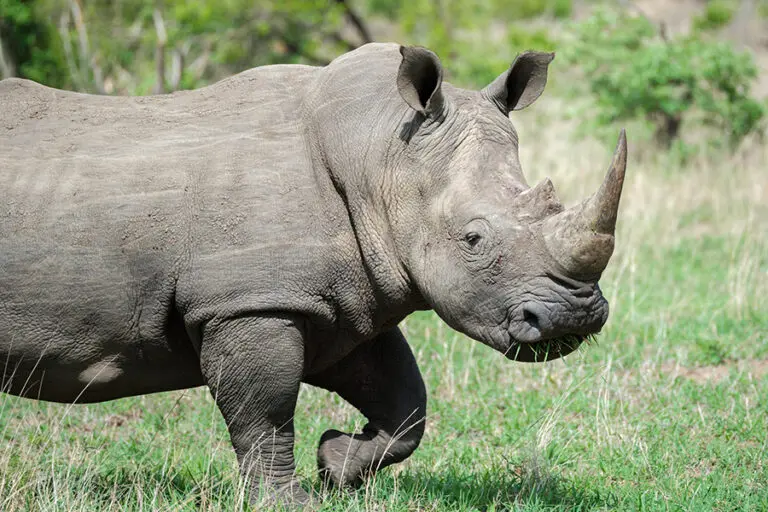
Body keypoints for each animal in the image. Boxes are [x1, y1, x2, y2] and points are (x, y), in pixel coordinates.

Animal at [0, 43, 627, 506]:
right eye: (473, 239)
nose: (574, 316)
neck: (381, 152)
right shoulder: (252, 300)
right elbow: (266, 414)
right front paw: (288, 501)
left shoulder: (346, 301)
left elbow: (406, 403)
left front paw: (335, 465)